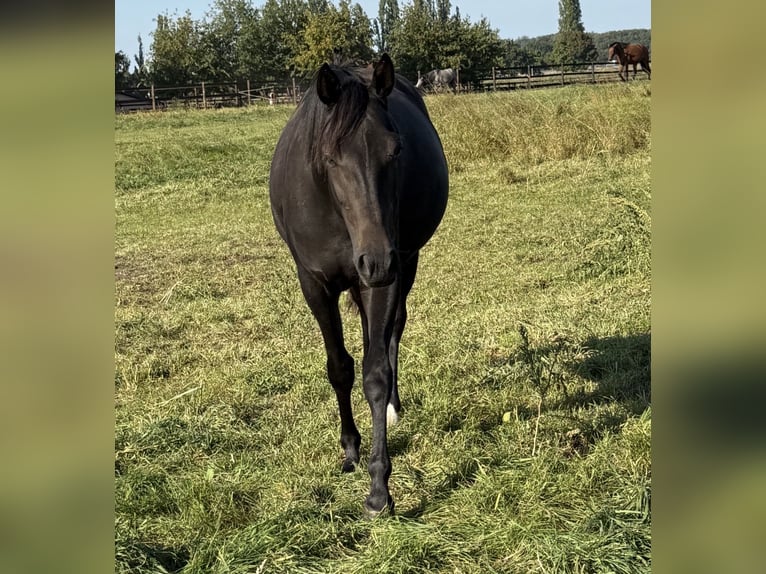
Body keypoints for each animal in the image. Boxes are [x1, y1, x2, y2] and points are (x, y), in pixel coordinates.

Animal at [269, 53, 449, 515]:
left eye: (396, 149)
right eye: (330, 157)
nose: (376, 259)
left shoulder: (385, 277)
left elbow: (375, 374)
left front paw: (379, 488)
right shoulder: (315, 284)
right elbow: (339, 368)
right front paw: (350, 448)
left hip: (404, 263)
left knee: (392, 332)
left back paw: (393, 409)